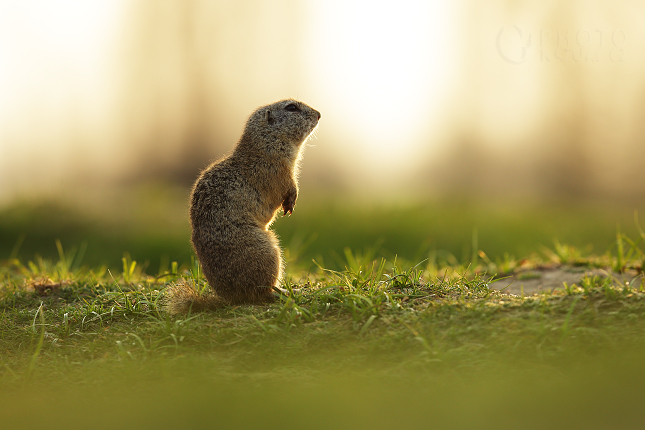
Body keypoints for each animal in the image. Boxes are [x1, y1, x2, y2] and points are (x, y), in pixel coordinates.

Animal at [164, 98, 320, 312]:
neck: (266, 144)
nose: (319, 114)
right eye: (291, 108)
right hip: (268, 252)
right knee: (262, 292)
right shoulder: (277, 172)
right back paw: (286, 292)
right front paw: (291, 202)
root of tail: (230, 297)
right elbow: (288, 186)